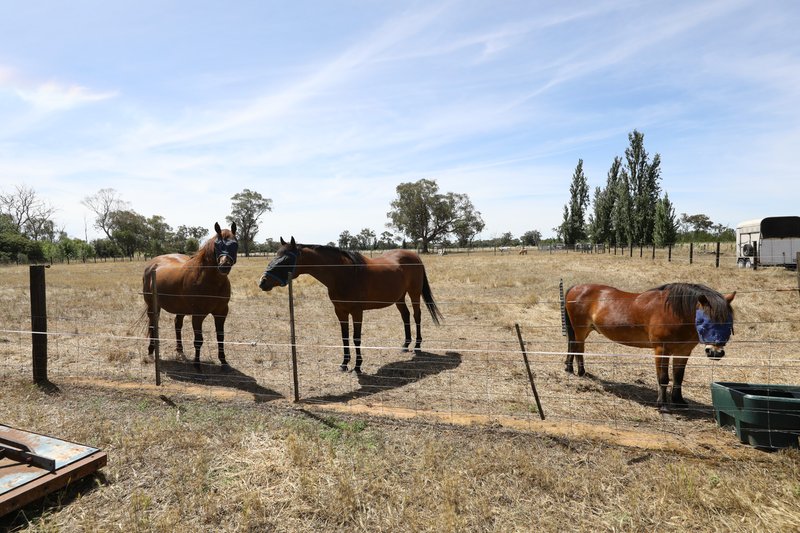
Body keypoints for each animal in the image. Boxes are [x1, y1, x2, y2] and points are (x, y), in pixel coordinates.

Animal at [143, 221, 238, 366]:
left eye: (235, 244)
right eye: (217, 244)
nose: (224, 266)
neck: (209, 281)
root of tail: (152, 264)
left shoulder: (221, 312)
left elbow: (220, 337)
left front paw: (223, 361)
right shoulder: (198, 315)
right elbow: (198, 340)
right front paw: (197, 364)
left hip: (179, 309)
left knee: (177, 325)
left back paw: (180, 353)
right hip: (153, 306)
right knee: (153, 324)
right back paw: (150, 353)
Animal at [260, 237, 444, 374]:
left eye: (286, 259)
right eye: (275, 255)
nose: (263, 282)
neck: (344, 274)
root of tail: (414, 256)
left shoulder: (357, 312)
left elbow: (356, 338)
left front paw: (358, 366)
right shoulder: (340, 311)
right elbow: (344, 337)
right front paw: (344, 363)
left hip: (414, 293)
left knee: (417, 315)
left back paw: (418, 346)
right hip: (399, 297)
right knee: (405, 315)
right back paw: (405, 345)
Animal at [560, 280, 736, 410]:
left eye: (728, 321)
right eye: (705, 320)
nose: (715, 352)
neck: (674, 313)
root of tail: (576, 287)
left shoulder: (683, 351)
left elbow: (678, 376)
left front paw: (679, 401)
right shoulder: (661, 350)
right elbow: (663, 377)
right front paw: (662, 404)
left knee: (572, 346)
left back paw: (569, 368)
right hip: (581, 330)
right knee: (578, 348)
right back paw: (581, 372)